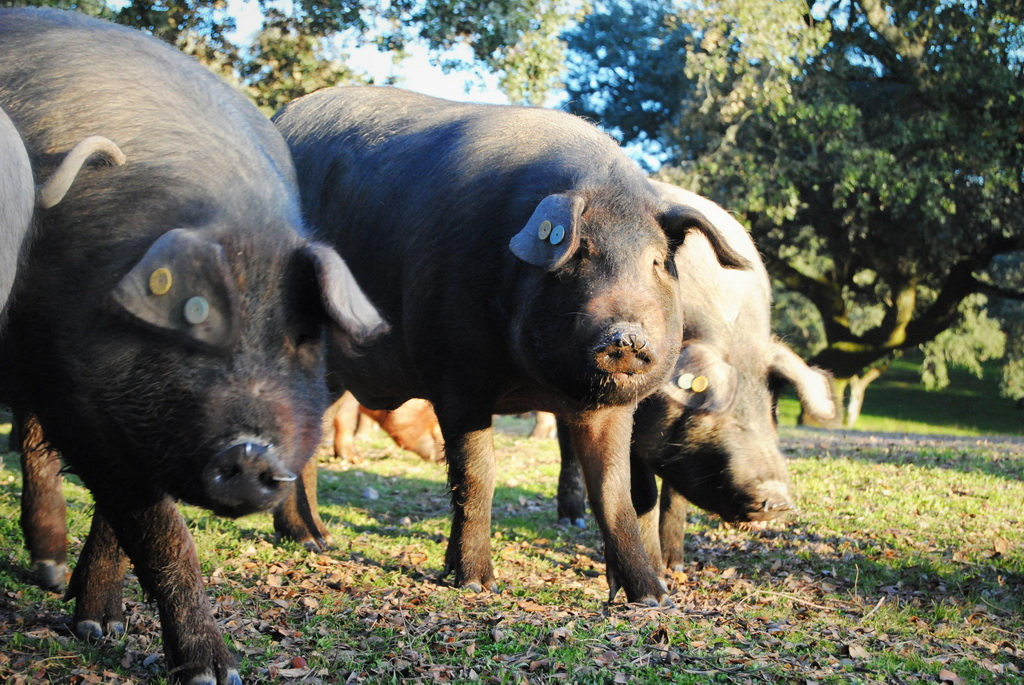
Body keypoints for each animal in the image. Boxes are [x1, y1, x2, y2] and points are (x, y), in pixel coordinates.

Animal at [0, 7, 385, 679]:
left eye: (303, 336)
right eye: (193, 316)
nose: (252, 451)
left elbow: (120, 522)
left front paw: (102, 629)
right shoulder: (74, 391)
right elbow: (158, 528)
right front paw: (213, 672)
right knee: (33, 447)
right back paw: (50, 572)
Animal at [272, 87, 753, 602]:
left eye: (659, 261)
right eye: (580, 254)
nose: (626, 335)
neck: (533, 385)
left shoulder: (611, 406)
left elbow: (613, 490)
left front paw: (654, 596)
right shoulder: (457, 376)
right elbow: (476, 475)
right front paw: (475, 583)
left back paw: (319, 539)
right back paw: (309, 540)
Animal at [561, 180, 839, 565]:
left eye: (771, 407)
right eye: (708, 404)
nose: (777, 499)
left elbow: (674, 496)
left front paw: (676, 564)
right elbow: (642, 494)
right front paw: (659, 570)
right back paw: (572, 520)